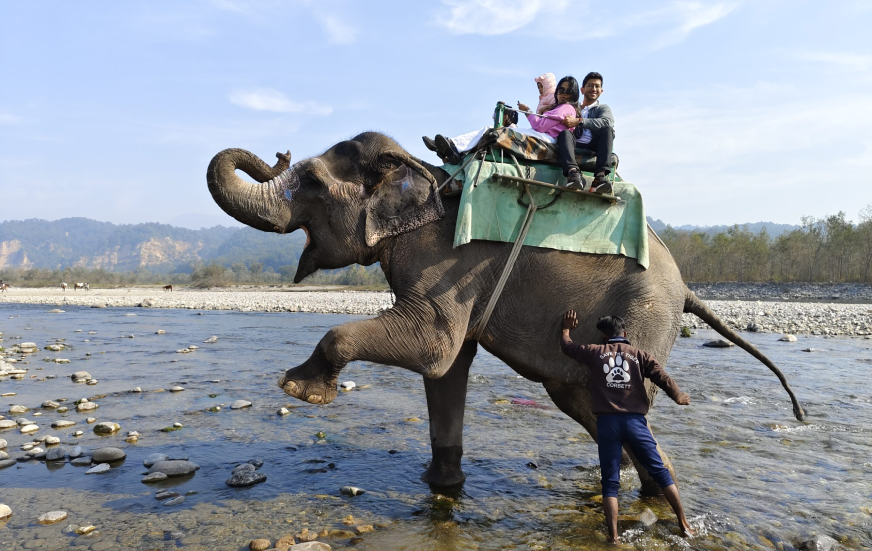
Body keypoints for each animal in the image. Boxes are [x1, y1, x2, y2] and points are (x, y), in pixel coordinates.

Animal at [206, 132, 804, 493]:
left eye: (310, 182)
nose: (279, 151)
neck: (422, 172)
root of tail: (687, 288)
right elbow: (447, 366)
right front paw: (441, 486)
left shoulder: (448, 263)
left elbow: (433, 347)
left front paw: (299, 390)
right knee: (578, 401)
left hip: (644, 316)